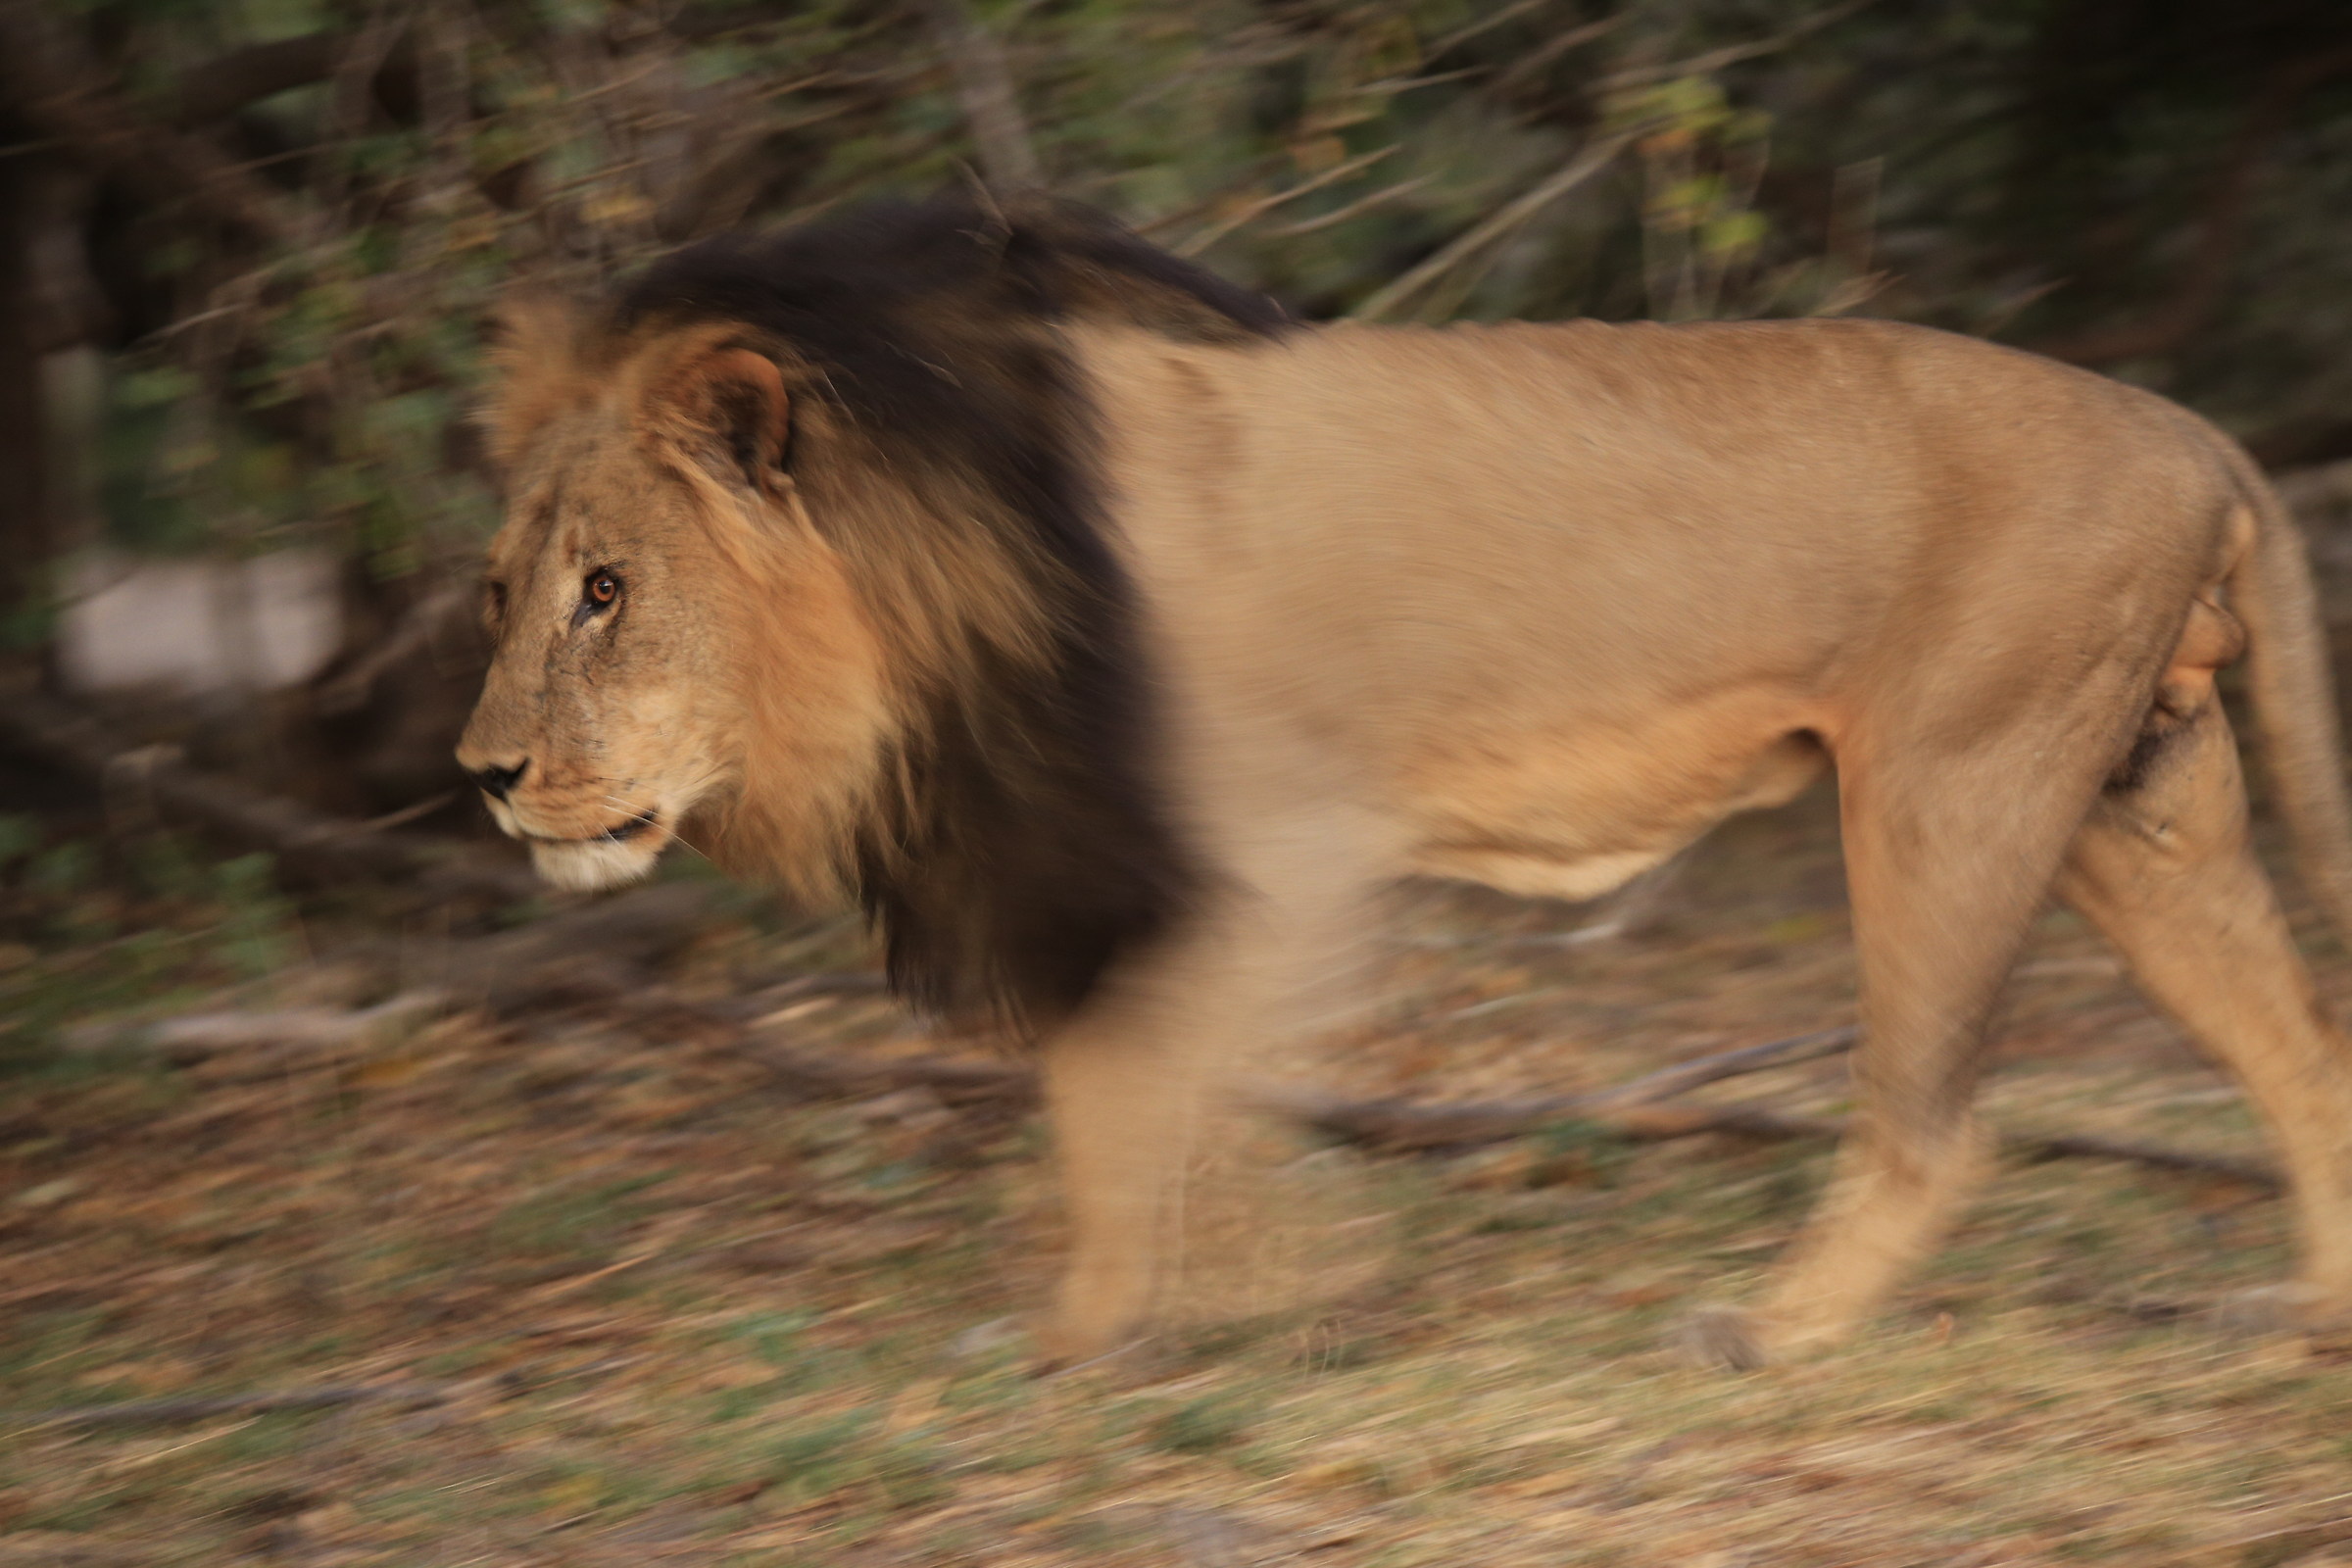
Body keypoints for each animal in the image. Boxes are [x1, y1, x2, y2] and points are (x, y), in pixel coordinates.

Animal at [458, 194, 2352, 1370]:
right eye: (501, 592)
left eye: (607, 590)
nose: (483, 774)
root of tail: (2193, 430)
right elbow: (1109, 1097)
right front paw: (1160, 1311)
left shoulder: (1263, 855)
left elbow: (1144, 1094)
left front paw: (1217, 1300)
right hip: (2134, 804)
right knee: (2306, 1054)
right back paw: (2309, 1316)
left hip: (1949, 790)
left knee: (1936, 1117)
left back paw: (1776, 1327)